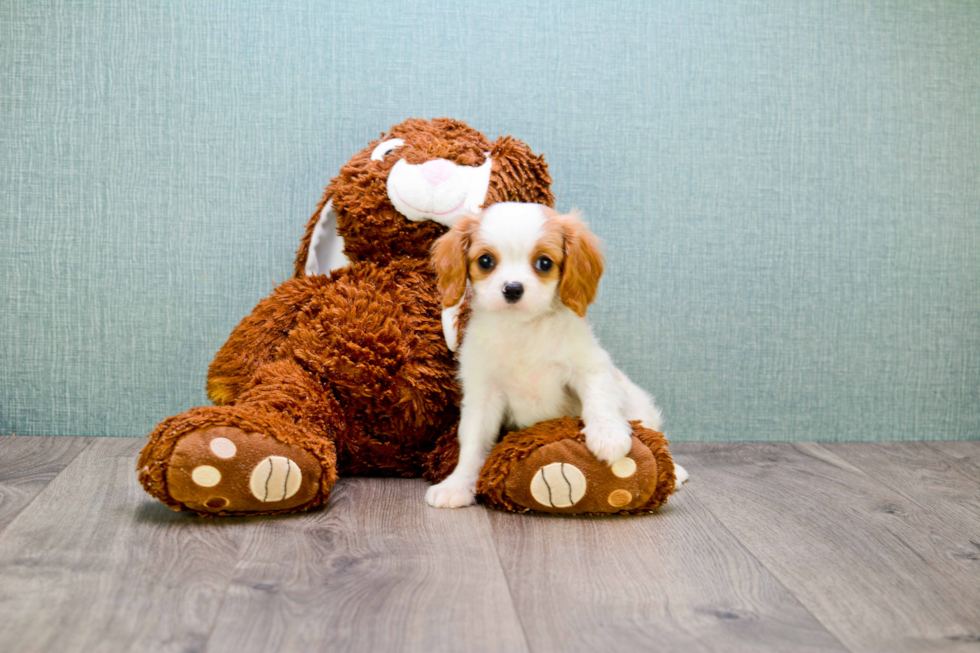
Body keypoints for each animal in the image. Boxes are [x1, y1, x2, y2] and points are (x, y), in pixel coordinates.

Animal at [424, 201, 684, 506]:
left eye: (544, 263)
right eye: (485, 261)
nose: (512, 288)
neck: (523, 328)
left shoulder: (589, 366)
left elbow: (600, 400)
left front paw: (607, 435)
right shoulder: (482, 393)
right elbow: (474, 441)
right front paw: (458, 484)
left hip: (638, 406)